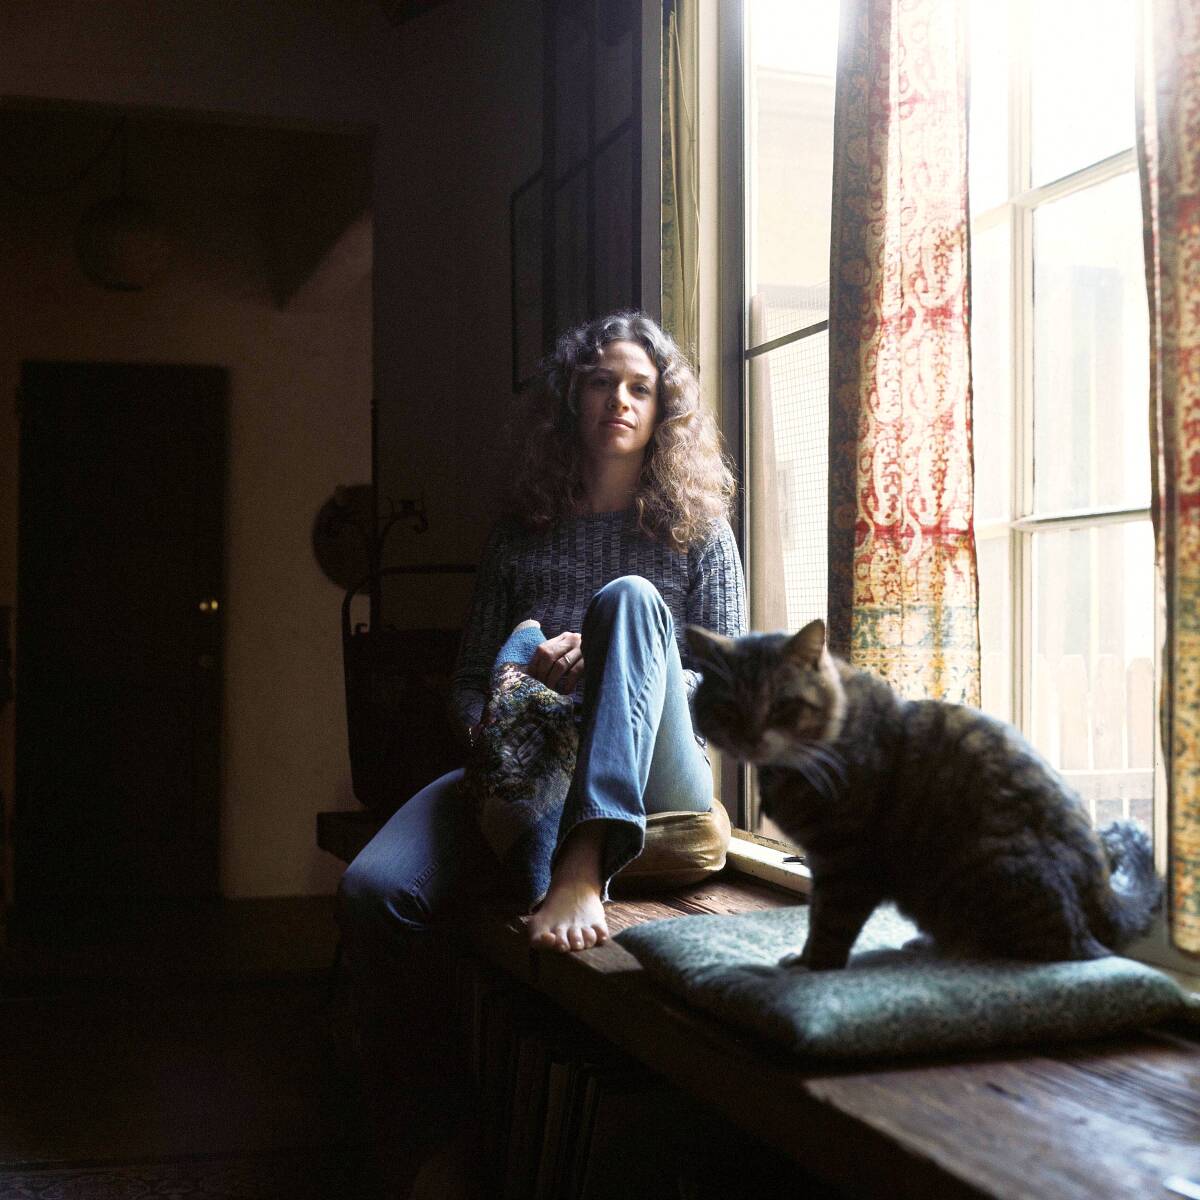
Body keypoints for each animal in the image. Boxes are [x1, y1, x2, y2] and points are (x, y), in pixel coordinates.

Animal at [686, 619, 1161, 964]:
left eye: (783, 705)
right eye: (729, 707)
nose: (752, 738)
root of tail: (1104, 893)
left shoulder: (848, 862)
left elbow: (829, 922)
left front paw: (811, 964)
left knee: (1062, 949)